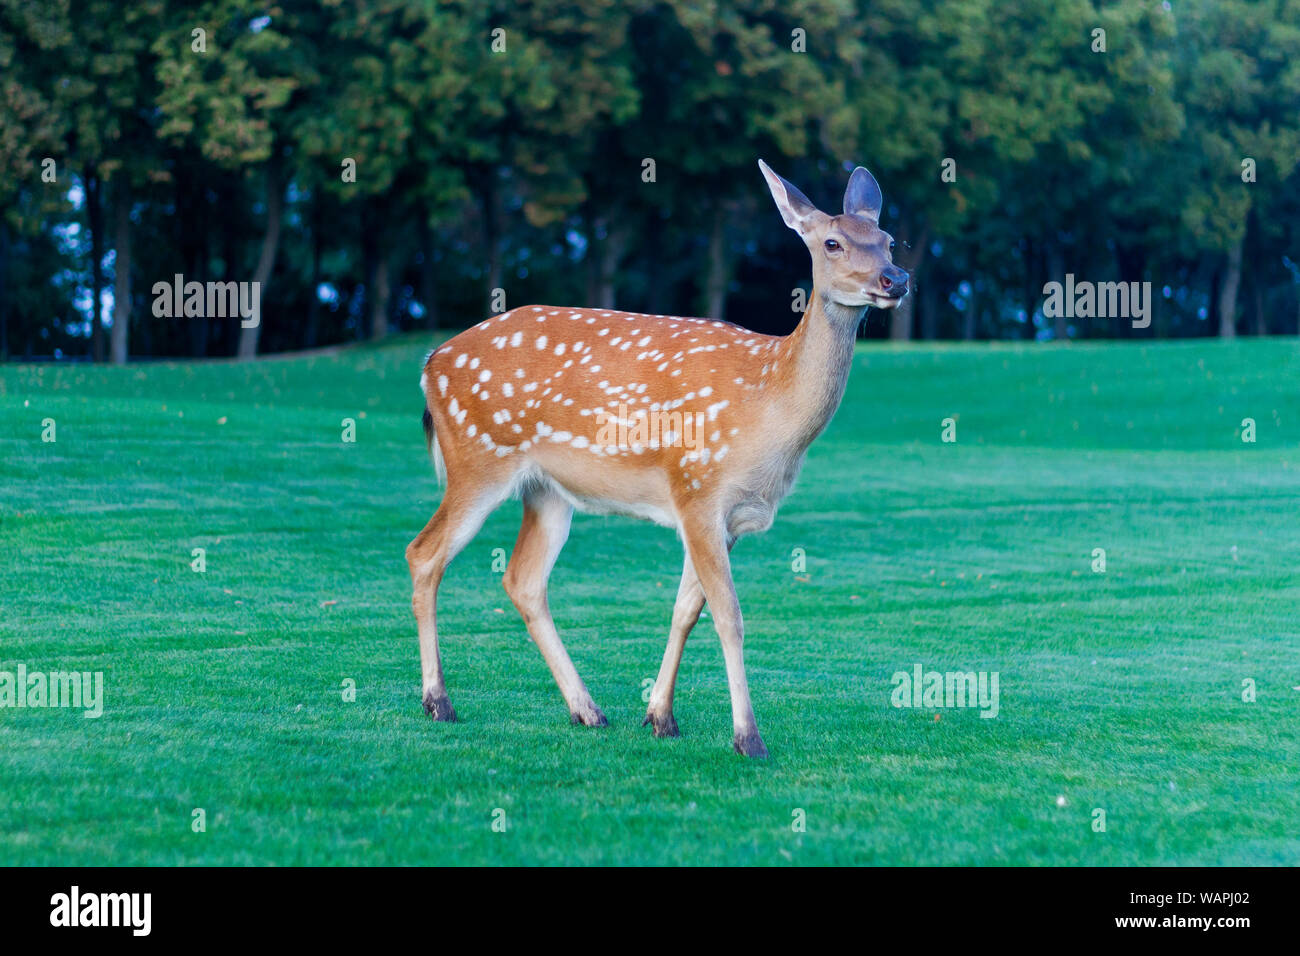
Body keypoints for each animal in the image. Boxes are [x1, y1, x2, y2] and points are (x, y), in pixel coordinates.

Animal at [406, 160, 908, 757]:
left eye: (888, 240)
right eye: (832, 242)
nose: (896, 279)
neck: (768, 404)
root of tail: (430, 363)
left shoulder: (725, 515)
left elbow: (686, 609)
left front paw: (660, 716)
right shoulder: (697, 487)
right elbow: (729, 615)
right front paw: (748, 737)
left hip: (547, 490)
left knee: (523, 580)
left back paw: (587, 710)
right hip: (477, 457)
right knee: (424, 553)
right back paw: (439, 702)